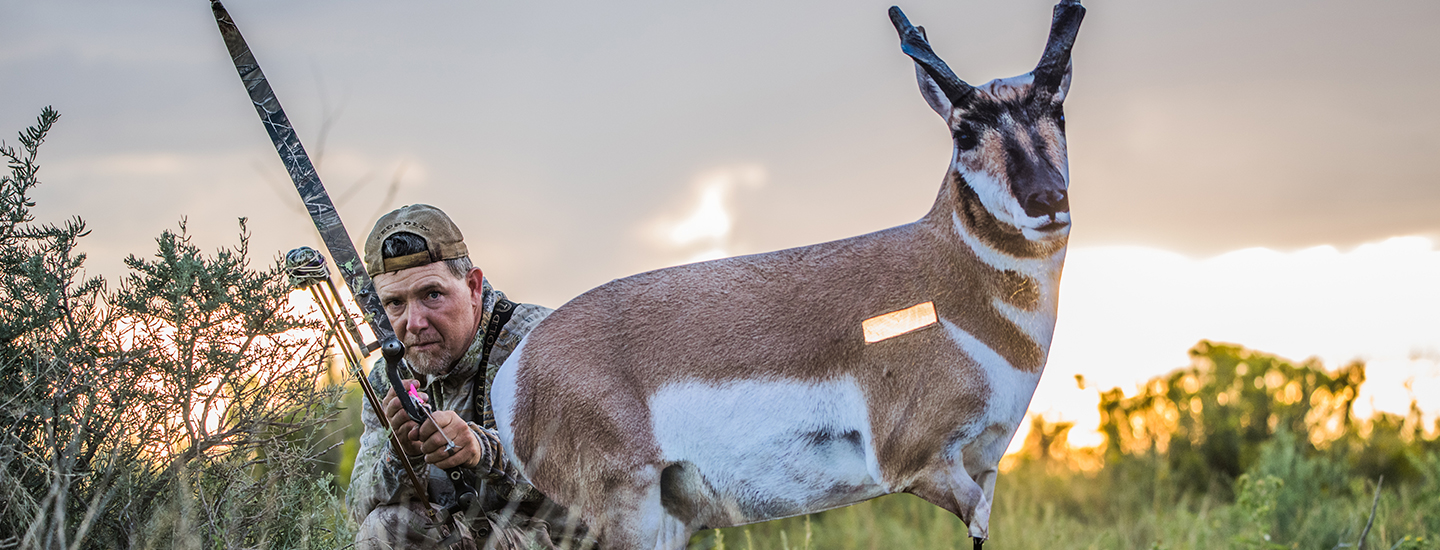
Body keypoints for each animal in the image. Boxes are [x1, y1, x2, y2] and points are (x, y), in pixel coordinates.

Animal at [492, 2, 1085, 548]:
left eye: (1058, 113)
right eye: (964, 133)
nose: (1047, 200)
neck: (946, 279)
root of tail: (519, 367)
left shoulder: (986, 466)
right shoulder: (924, 465)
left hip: (667, 522)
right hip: (629, 520)